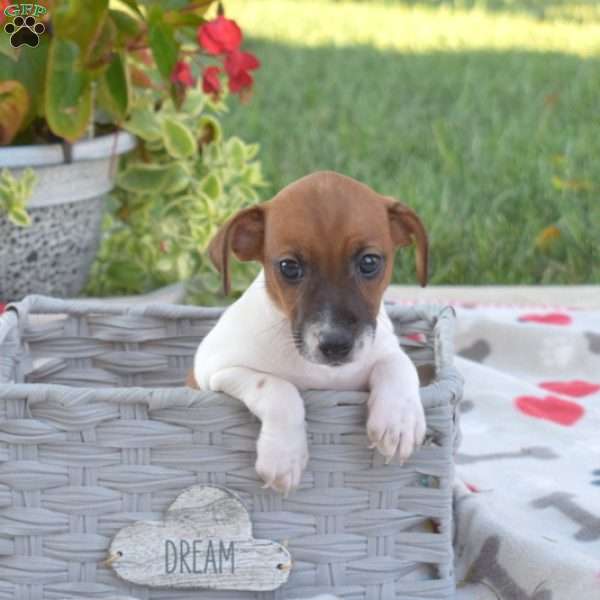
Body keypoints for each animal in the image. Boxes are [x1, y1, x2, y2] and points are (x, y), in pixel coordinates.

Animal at [190, 170, 428, 496]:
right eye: (289, 267)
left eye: (369, 262)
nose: (335, 344)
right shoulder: (214, 370)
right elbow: (277, 387)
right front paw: (283, 456)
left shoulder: (381, 350)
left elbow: (398, 365)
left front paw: (399, 420)